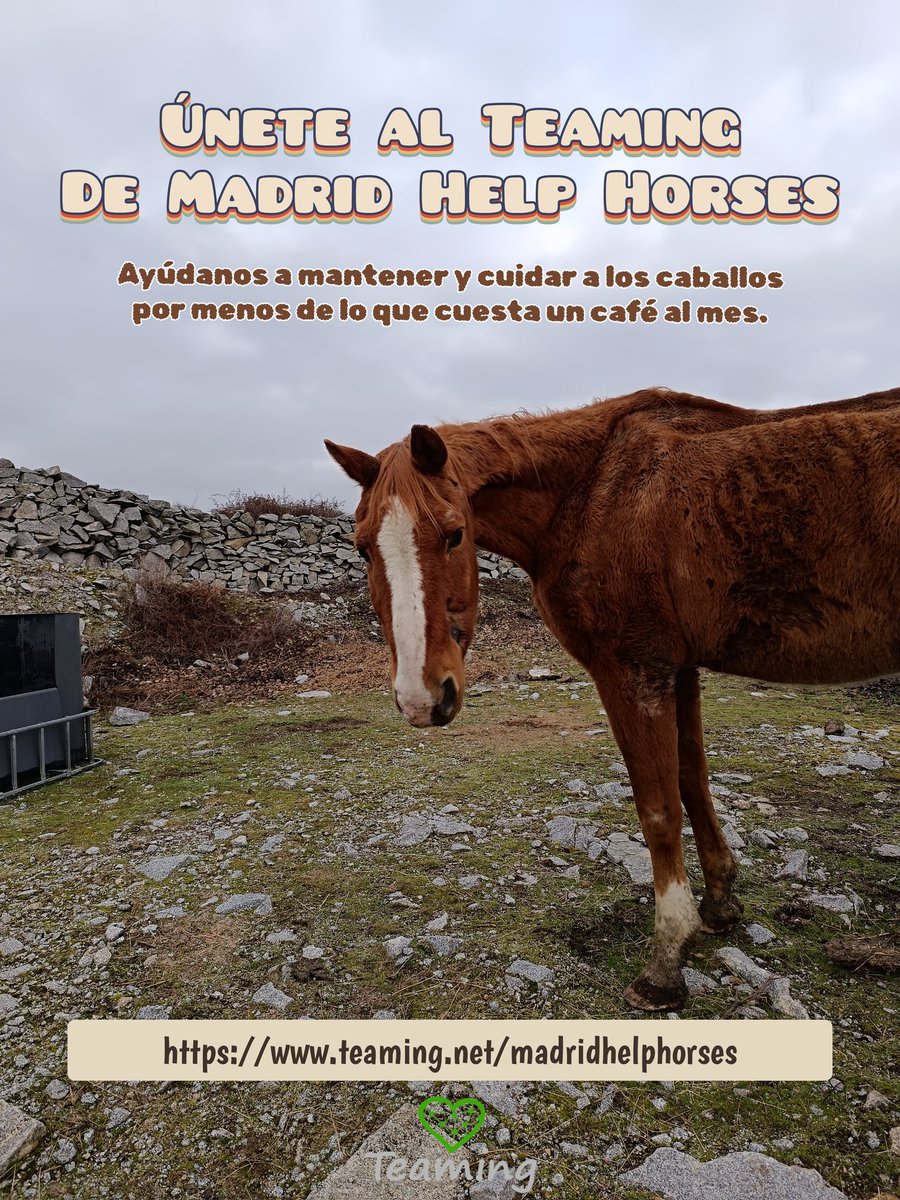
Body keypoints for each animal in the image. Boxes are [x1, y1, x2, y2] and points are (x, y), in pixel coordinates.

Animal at [325, 386, 900, 1010]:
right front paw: (720, 903)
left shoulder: (633, 671)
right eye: (362, 549)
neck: (594, 492)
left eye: (454, 533)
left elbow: (658, 809)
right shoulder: (679, 668)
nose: (421, 698)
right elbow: (692, 782)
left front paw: (667, 959)